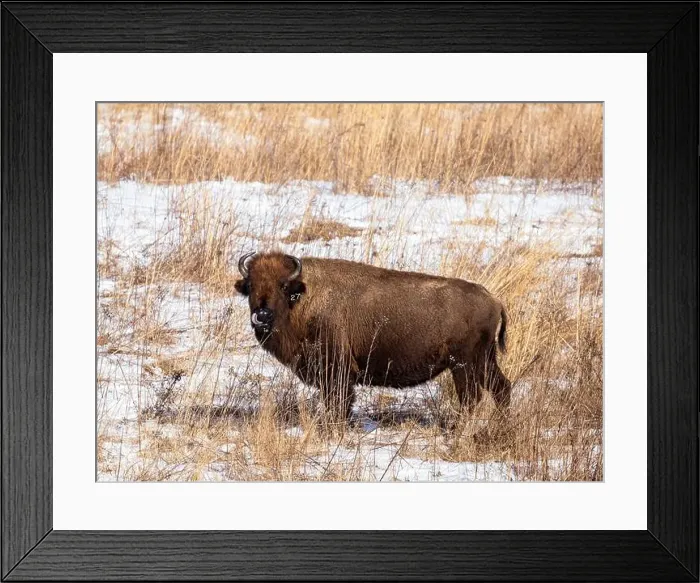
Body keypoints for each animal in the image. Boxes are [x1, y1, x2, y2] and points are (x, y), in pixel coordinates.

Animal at [235, 251, 511, 423]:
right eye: (251, 286)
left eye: (283, 286)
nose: (262, 315)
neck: (302, 296)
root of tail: (494, 300)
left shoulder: (338, 371)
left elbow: (339, 403)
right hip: (483, 362)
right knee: (501, 388)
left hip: (463, 365)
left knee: (472, 397)